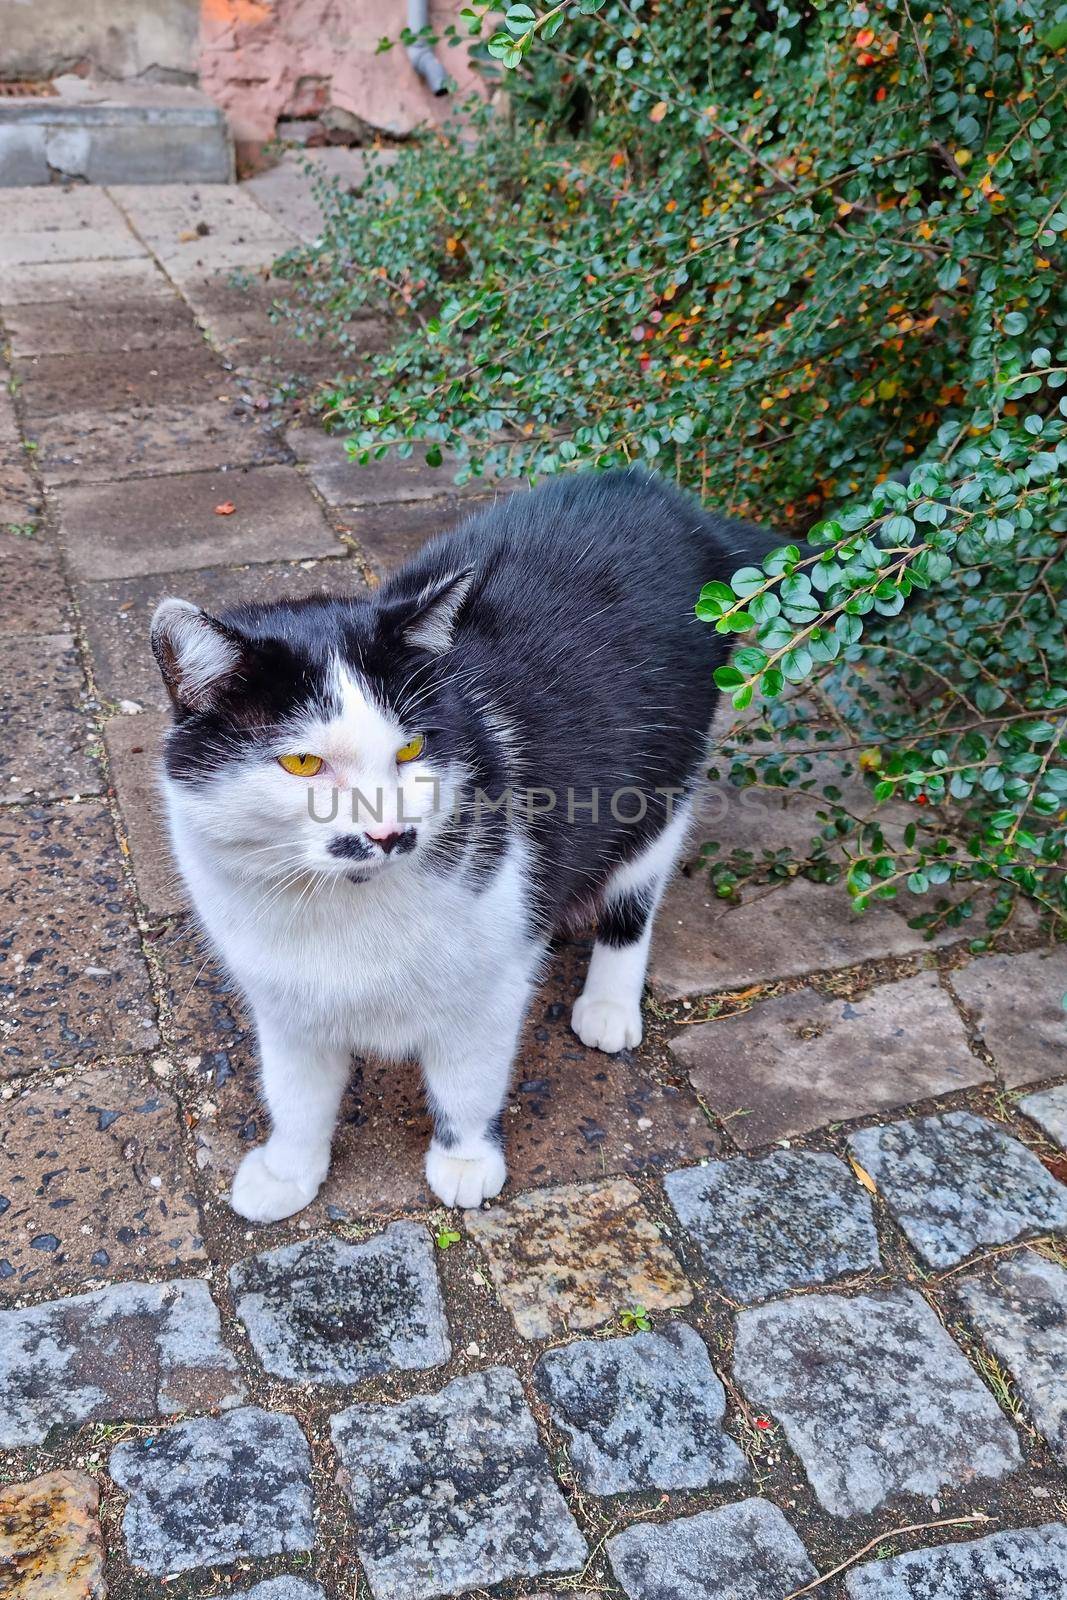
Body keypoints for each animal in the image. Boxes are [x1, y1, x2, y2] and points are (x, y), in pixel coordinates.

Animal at [150, 467, 767, 1216]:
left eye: (412, 749)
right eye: (301, 763)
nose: (388, 831)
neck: (343, 910)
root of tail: (660, 495)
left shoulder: (490, 984)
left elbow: (466, 1079)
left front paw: (466, 1160)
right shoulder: (284, 1000)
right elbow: (295, 1092)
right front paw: (287, 1172)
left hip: (663, 779)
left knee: (633, 895)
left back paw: (609, 1003)